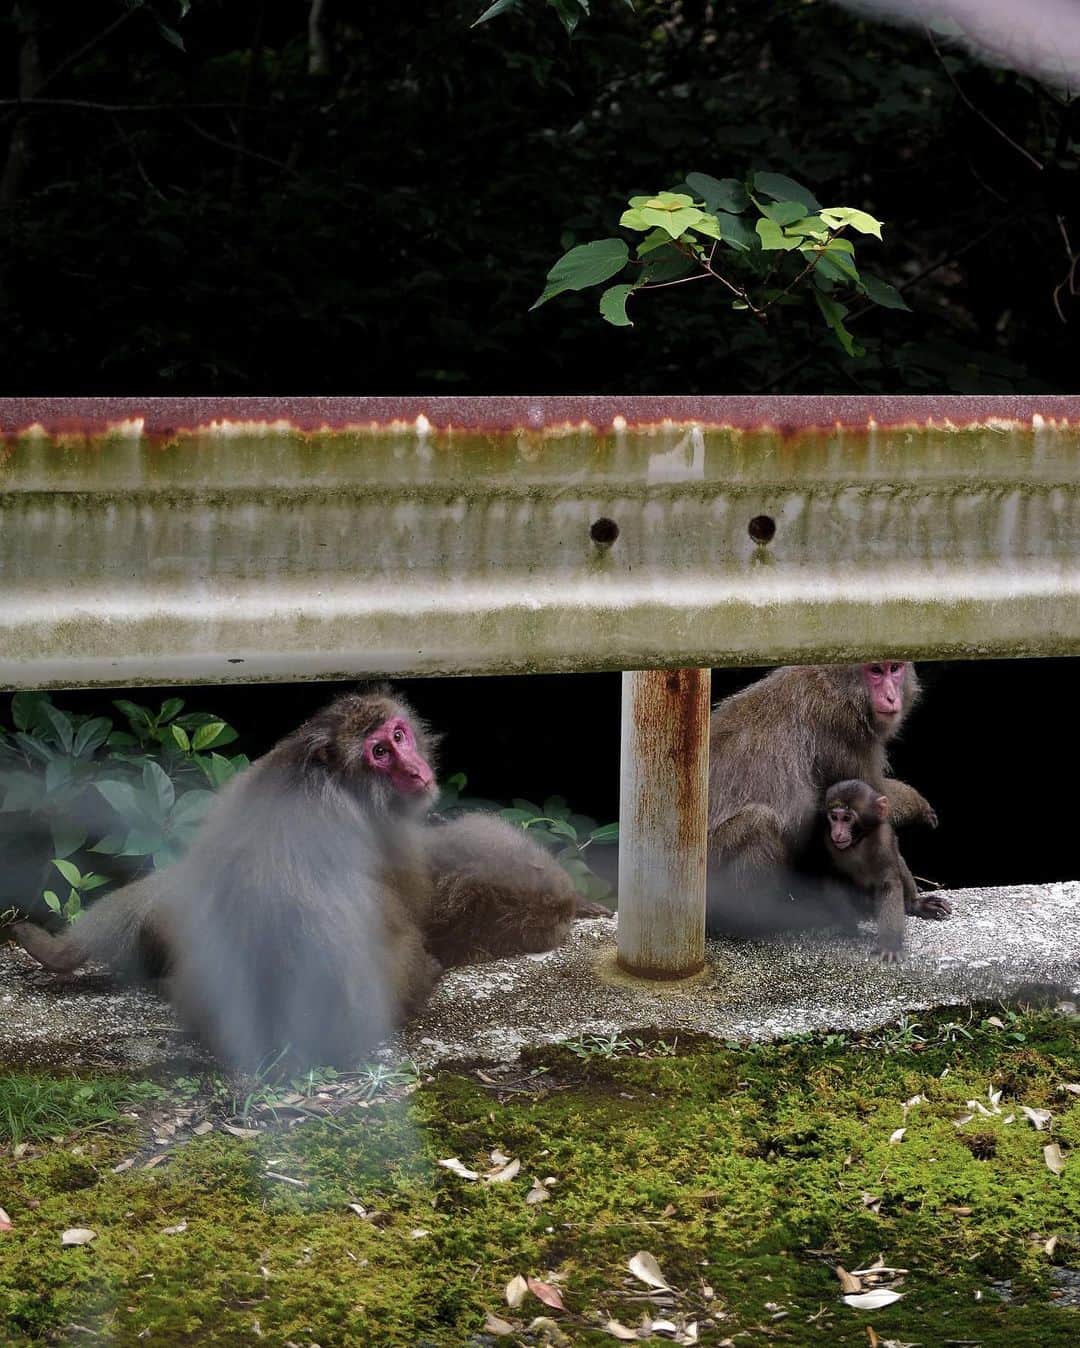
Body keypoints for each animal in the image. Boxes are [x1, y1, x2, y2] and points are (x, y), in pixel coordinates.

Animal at [706, 660, 944, 935]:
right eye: (875, 671)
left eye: (894, 669)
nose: (891, 696)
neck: (840, 689)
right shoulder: (843, 730)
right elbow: (875, 808)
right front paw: (917, 804)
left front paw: (913, 902)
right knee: (759, 822)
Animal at [822, 779, 921, 962]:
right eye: (834, 817)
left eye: (847, 818)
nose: (837, 832)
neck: (858, 842)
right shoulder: (827, 841)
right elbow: (830, 879)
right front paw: (848, 926)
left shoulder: (884, 837)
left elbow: (889, 884)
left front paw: (890, 943)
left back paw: (916, 904)